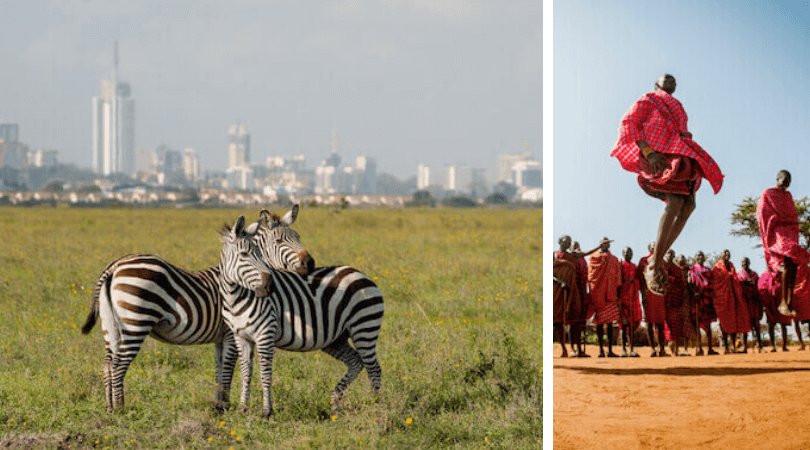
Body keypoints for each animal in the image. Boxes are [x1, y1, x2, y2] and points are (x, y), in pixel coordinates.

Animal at [80, 207, 310, 412]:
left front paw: (218, 405)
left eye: (298, 236)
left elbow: (219, 369)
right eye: (280, 241)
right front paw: (225, 406)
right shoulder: (230, 333)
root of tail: (115, 266)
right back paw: (121, 409)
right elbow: (228, 369)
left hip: (110, 325)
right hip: (136, 322)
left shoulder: (220, 338)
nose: (309, 263)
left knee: (108, 363)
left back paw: (109, 407)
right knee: (118, 365)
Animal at [223, 246, 384, 414]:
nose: (266, 288)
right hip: (336, 339)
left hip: (364, 325)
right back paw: (335, 402)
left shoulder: (259, 332)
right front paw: (239, 408)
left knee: (374, 368)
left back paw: (375, 405)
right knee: (356, 361)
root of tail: (361, 274)